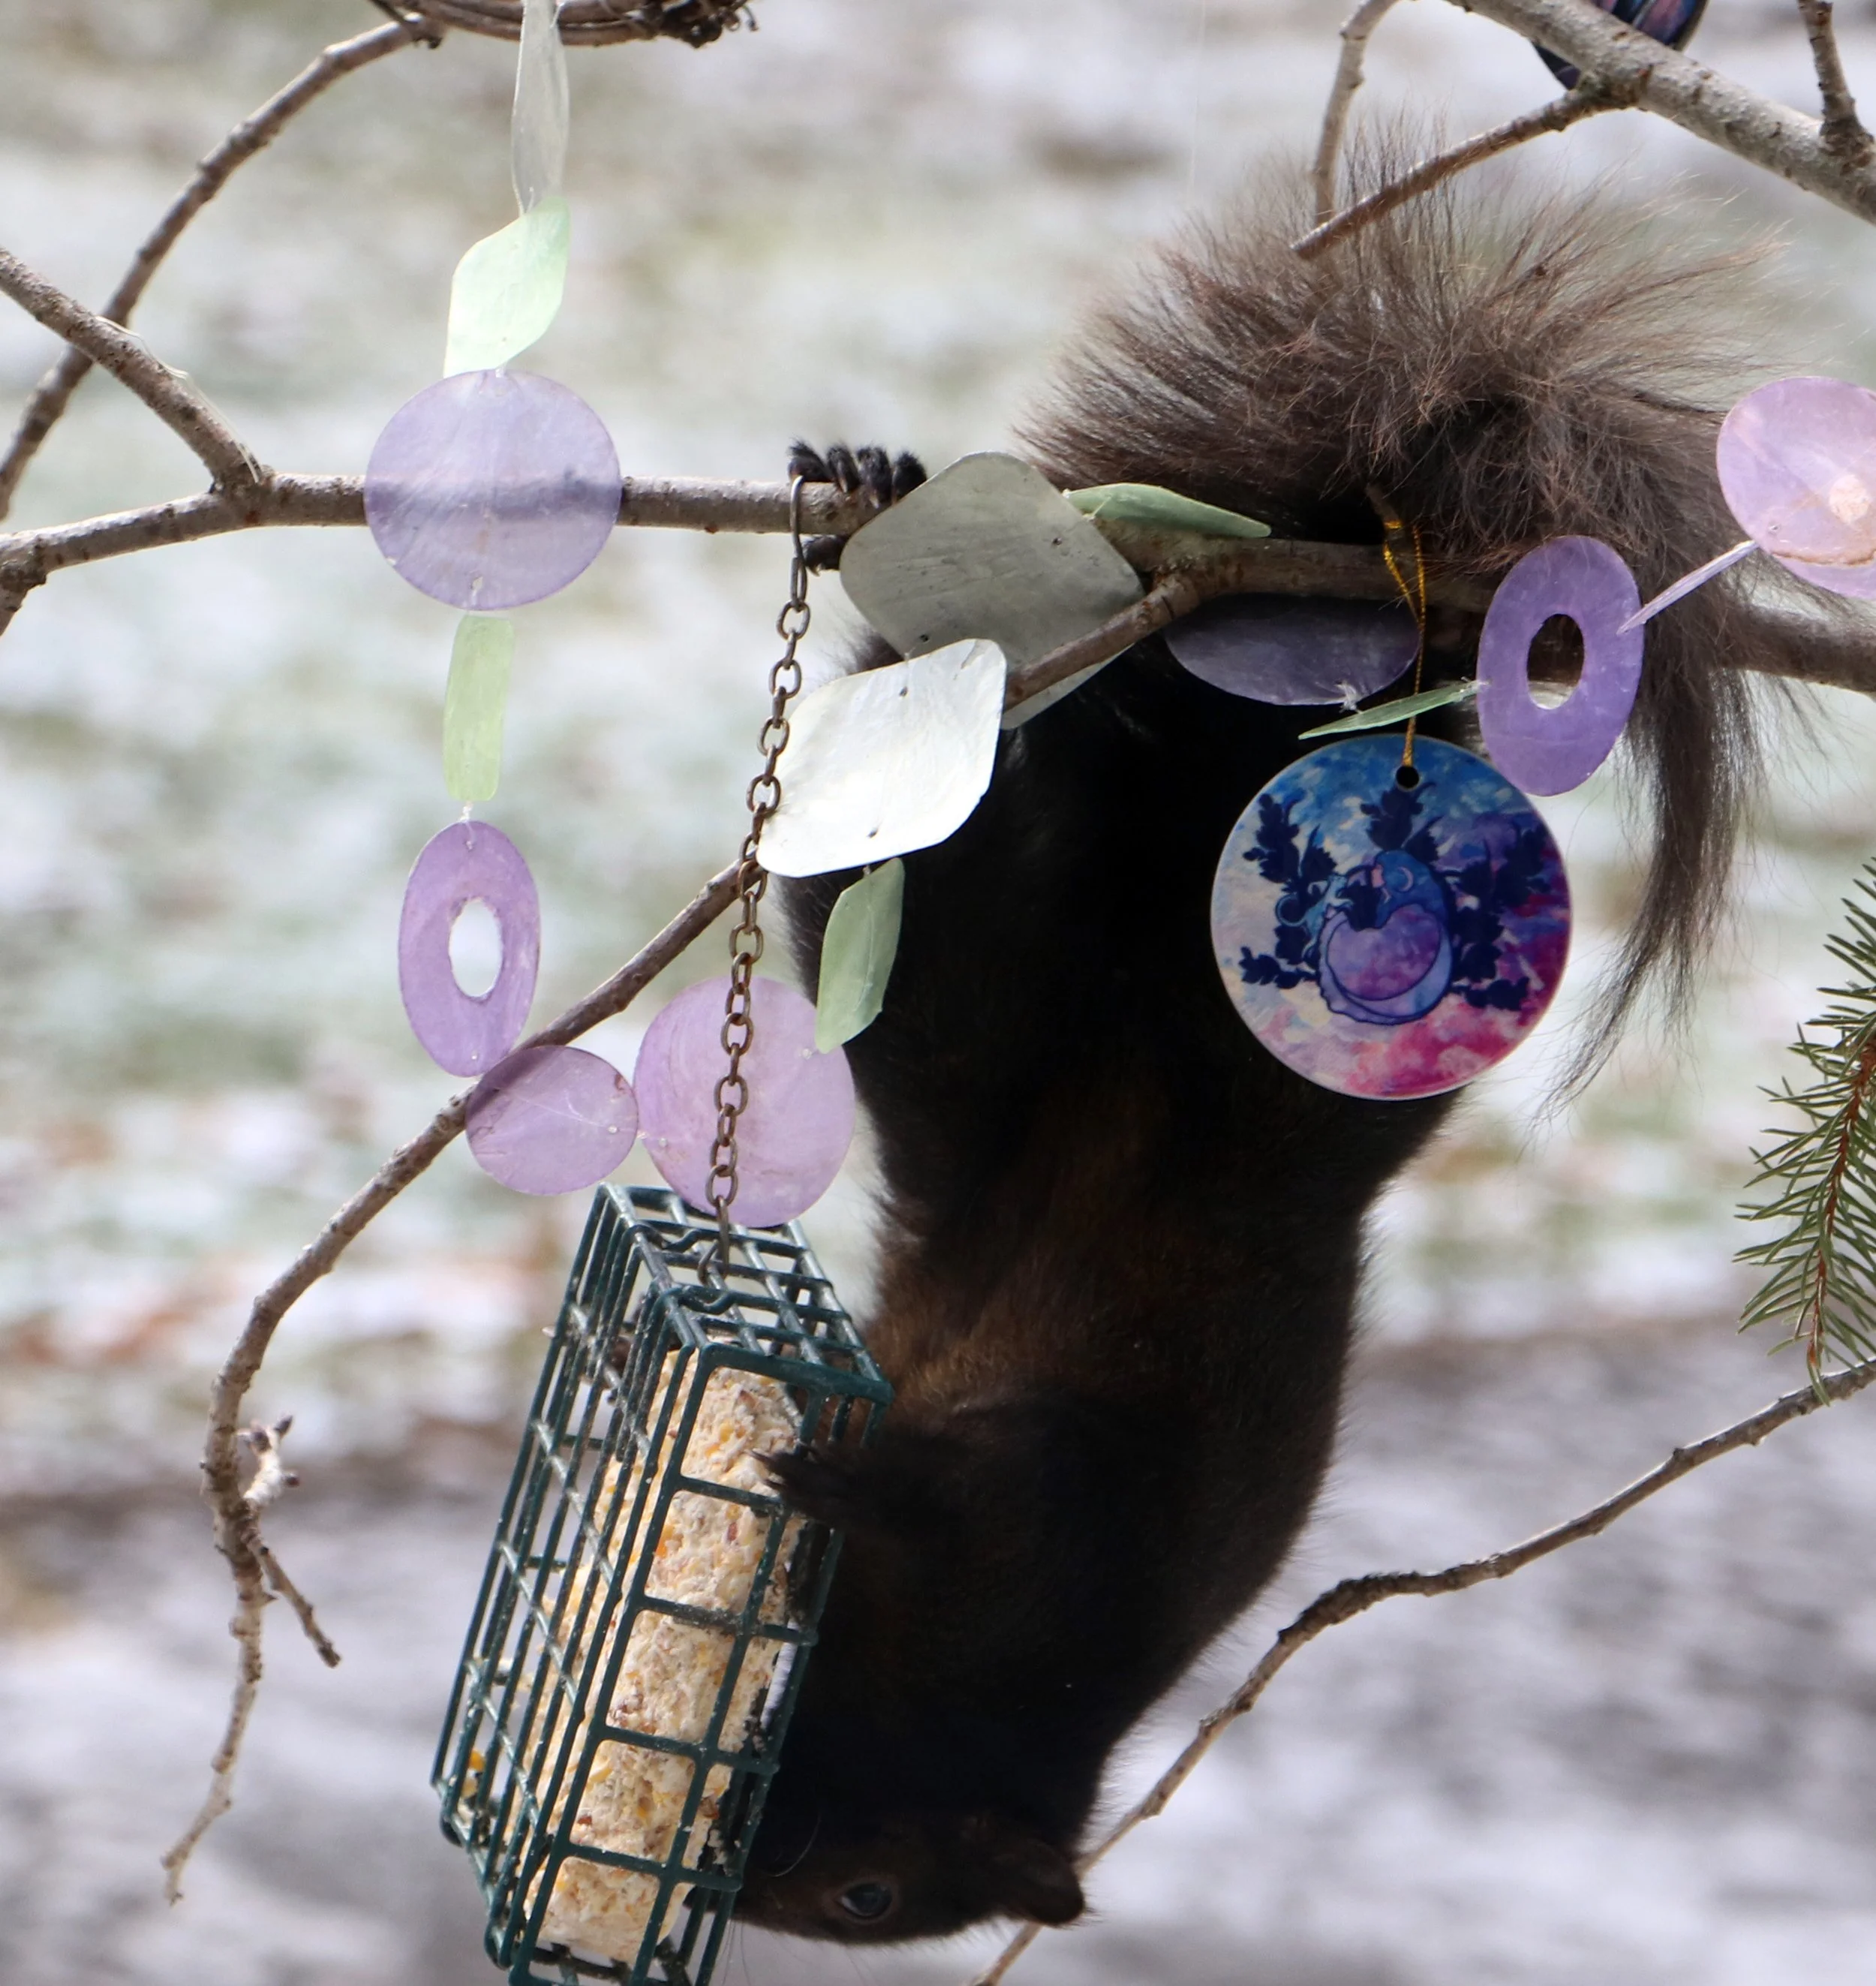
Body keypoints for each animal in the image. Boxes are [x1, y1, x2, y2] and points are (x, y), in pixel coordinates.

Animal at [733, 158, 1868, 1944]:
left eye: (863, 1898)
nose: (744, 1856)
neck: (1014, 1704)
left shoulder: (1060, 1520)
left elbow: (985, 1487)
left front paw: (844, 1494)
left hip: (983, 1043)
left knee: (943, 858)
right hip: (1002, 1021)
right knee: (951, 816)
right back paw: (871, 508)